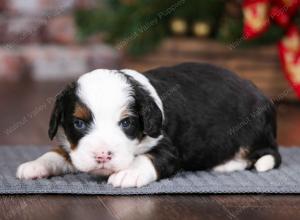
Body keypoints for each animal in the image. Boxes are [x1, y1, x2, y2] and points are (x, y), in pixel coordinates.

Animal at [16, 62, 282, 188]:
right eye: (79, 123)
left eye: (126, 123)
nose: (102, 155)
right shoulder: (73, 146)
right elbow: (58, 152)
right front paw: (35, 165)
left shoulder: (170, 148)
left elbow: (149, 157)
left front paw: (128, 173)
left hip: (254, 130)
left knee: (264, 155)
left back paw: (226, 165)